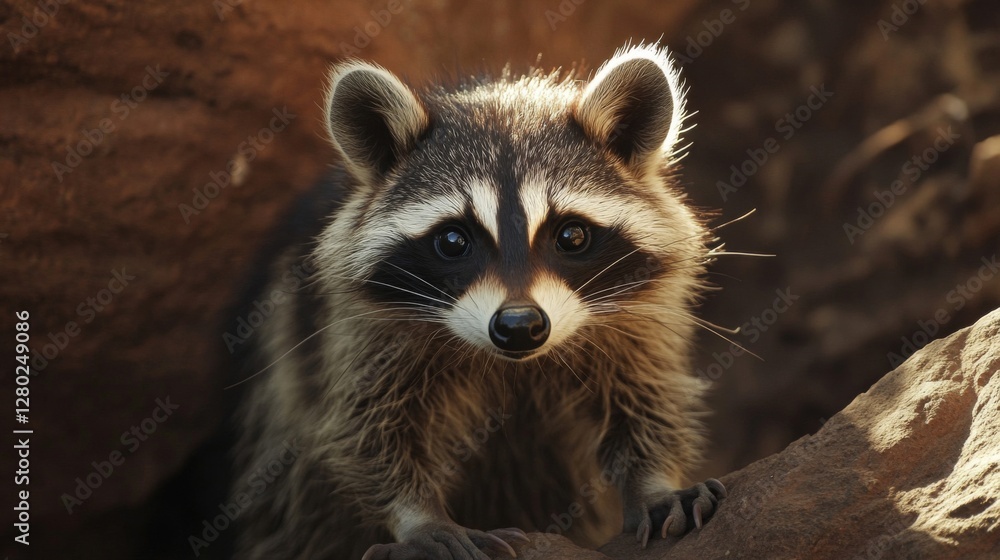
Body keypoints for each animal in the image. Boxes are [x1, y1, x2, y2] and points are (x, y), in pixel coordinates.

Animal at [230, 43, 726, 560]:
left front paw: (653, 482)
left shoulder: (637, 316)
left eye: (571, 236)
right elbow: (365, 428)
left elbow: (647, 397)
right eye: (453, 241)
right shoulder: (357, 330)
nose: (520, 326)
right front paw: (418, 515)